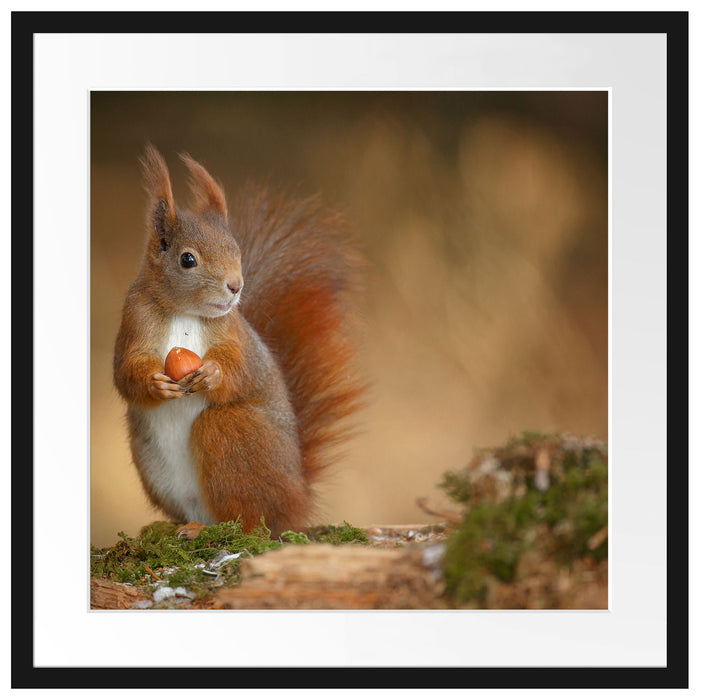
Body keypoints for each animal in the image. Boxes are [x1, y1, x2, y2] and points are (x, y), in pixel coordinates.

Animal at [113, 145, 365, 538]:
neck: (185, 312)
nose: (236, 286)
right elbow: (126, 372)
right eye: (187, 259)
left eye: (237, 250)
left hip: (232, 432)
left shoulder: (235, 334)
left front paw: (213, 374)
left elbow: (241, 367)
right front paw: (156, 384)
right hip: (152, 463)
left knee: (249, 520)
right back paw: (186, 527)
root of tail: (298, 501)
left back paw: (215, 529)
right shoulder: (134, 322)